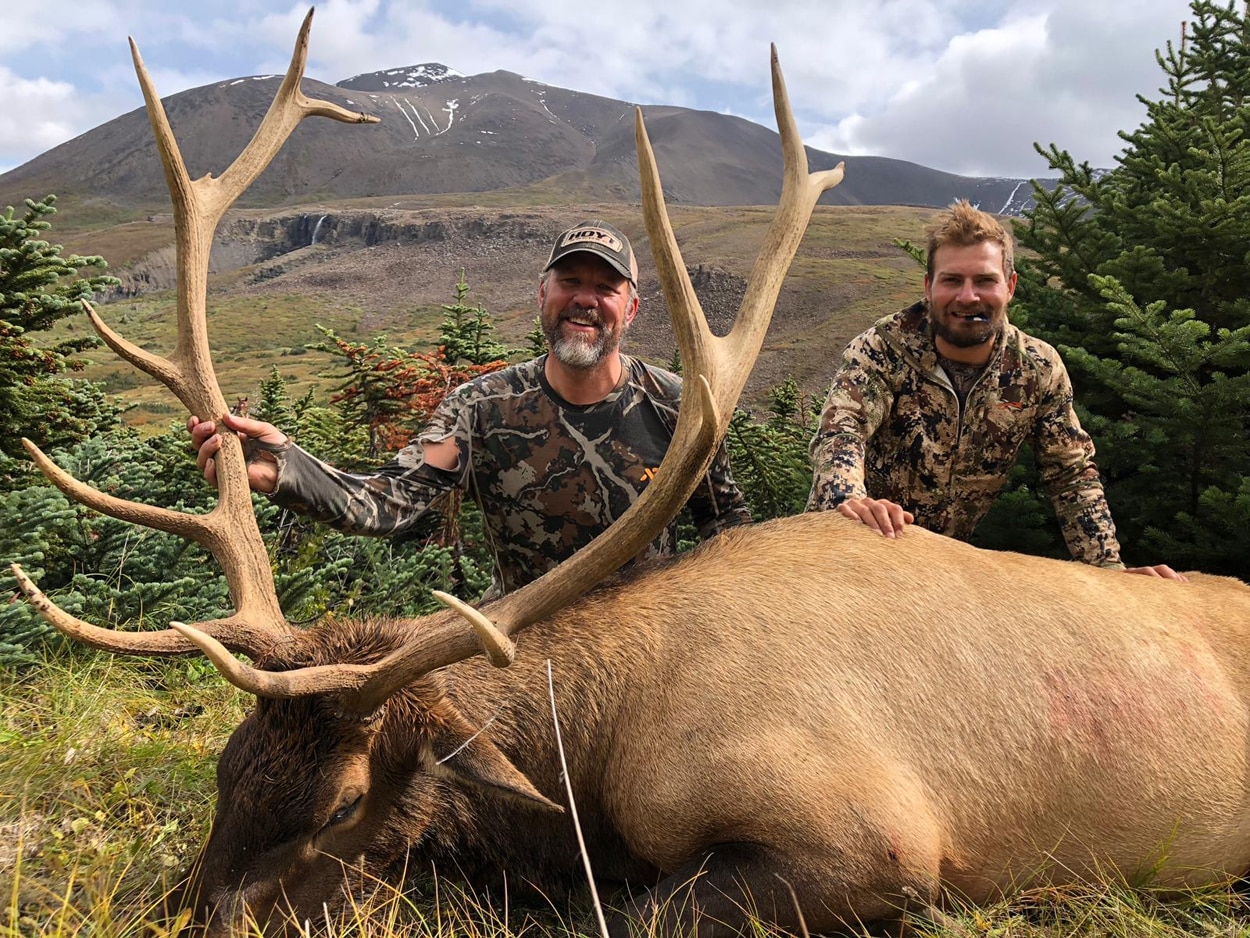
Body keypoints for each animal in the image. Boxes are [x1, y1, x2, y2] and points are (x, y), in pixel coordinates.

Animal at [14, 9, 1250, 938]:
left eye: (341, 806)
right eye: (229, 770)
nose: (176, 916)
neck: (597, 760)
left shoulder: (879, 836)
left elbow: (631, 913)